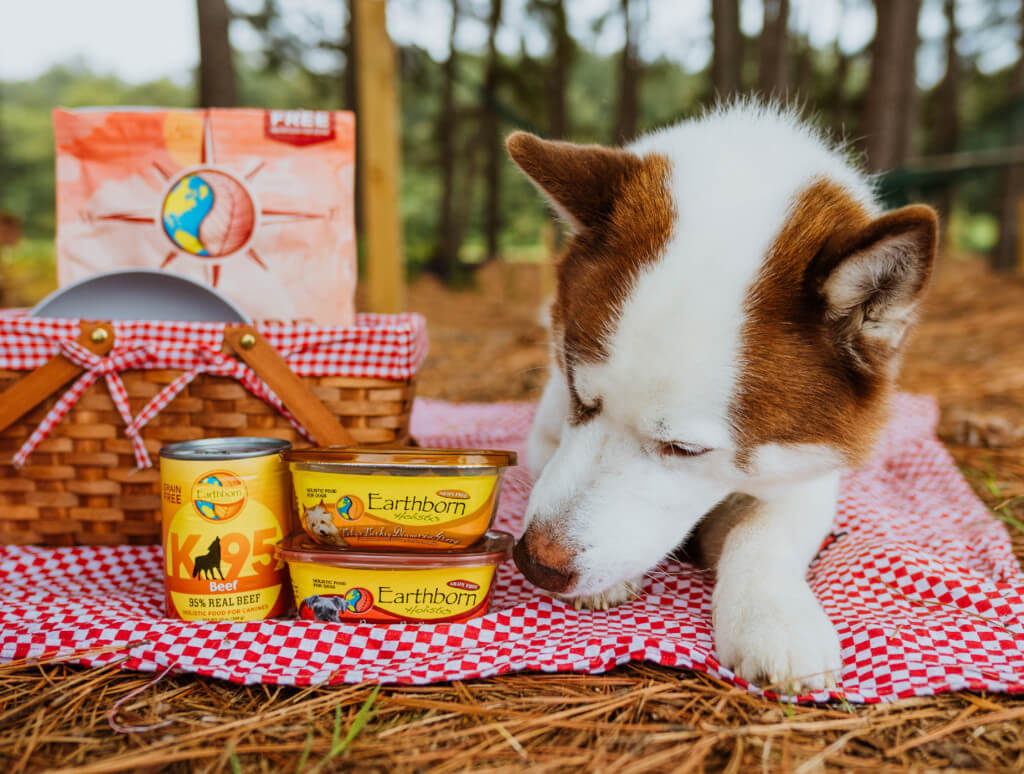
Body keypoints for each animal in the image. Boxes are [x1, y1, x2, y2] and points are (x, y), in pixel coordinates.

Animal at [505, 101, 937, 688]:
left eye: (685, 449)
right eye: (579, 396)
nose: (536, 564)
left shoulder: (814, 460)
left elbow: (762, 527)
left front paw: (771, 614)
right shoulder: (548, 425)